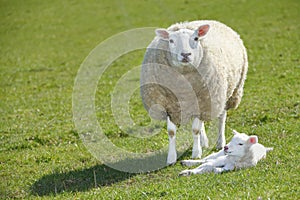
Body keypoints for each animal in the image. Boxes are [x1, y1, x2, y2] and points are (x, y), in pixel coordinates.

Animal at [141, 19, 248, 165]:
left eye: (196, 38)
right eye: (171, 40)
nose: (185, 54)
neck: (183, 88)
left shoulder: (203, 102)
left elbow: (195, 129)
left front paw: (196, 153)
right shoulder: (168, 106)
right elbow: (171, 132)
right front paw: (171, 158)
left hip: (225, 95)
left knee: (221, 118)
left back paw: (220, 142)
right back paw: (204, 142)